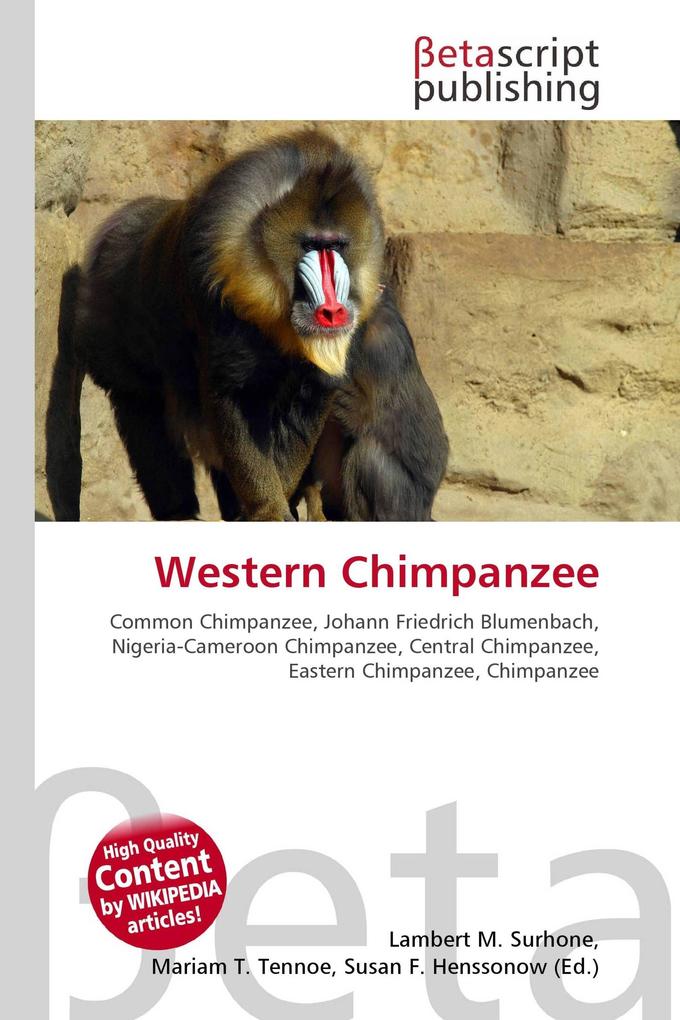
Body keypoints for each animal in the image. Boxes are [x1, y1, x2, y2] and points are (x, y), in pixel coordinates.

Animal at [45, 130, 448, 523]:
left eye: (337, 245)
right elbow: (233, 402)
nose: (332, 312)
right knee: (147, 420)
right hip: (124, 362)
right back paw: (181, 511)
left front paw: (276, 503)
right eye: (310, 245)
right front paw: (268, 511)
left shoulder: (318, 377)